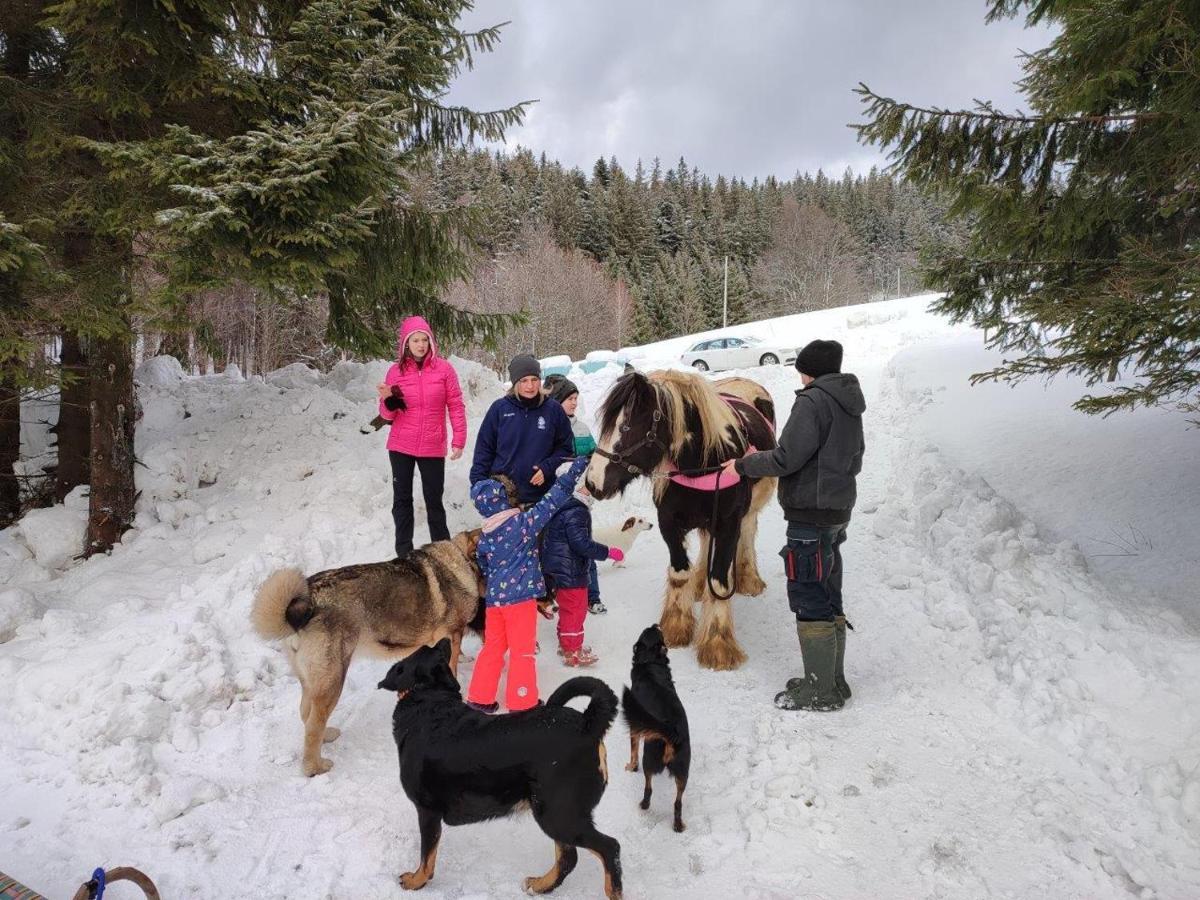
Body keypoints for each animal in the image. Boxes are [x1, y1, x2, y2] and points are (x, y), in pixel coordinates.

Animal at [252, 532, 482, 777]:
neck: (460, 559)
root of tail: (301, 609)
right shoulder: (450, 636)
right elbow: (452, 666)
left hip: (311, 681)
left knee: (306, 713)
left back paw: (326, 736)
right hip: (333, 680)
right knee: (313, 724)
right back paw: (315, 767)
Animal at [376, 643, 624, 900]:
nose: (444, 640)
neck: (429, 698)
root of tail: (587, 724)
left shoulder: (427, 810)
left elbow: (427, 857)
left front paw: (416, 881)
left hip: (558, 813)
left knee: (609, 847)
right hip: (555, 812)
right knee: (568, 858)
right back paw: (541, 885)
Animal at [624, 628, 691, 830]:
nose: (656, 624)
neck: (651, 662)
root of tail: (673, 733)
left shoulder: (635, 728)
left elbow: (633, 752)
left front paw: (631, 767)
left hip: (649, 758)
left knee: (648, 788)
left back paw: (644, 805)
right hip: (683, 771)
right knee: (677, 802)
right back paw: (678, 825)